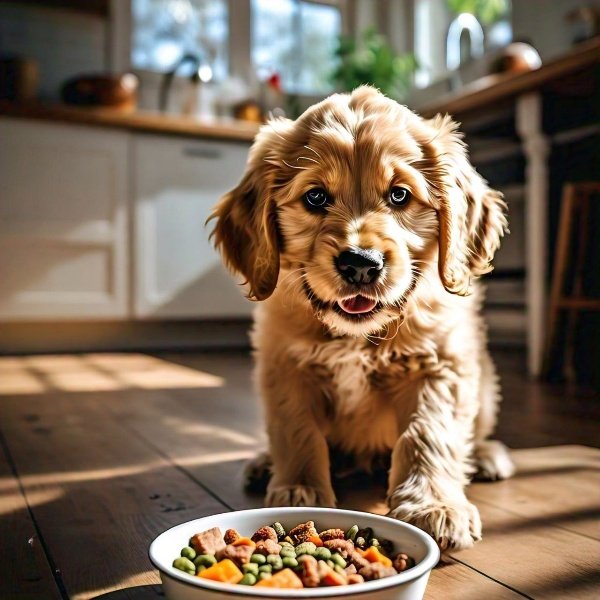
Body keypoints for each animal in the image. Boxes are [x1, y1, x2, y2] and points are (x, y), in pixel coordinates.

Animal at [211, 86, 516, 552]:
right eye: (315, 197)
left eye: (399, 196)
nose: (360, 264)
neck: (358, 336)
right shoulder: (284, 365)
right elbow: (296, 429)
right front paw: (300, 490)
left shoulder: (440, 365)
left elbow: (429, 432)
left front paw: (434, 506)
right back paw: (265, 463)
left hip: (484, 383)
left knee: (474, 430)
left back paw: (484, 456)